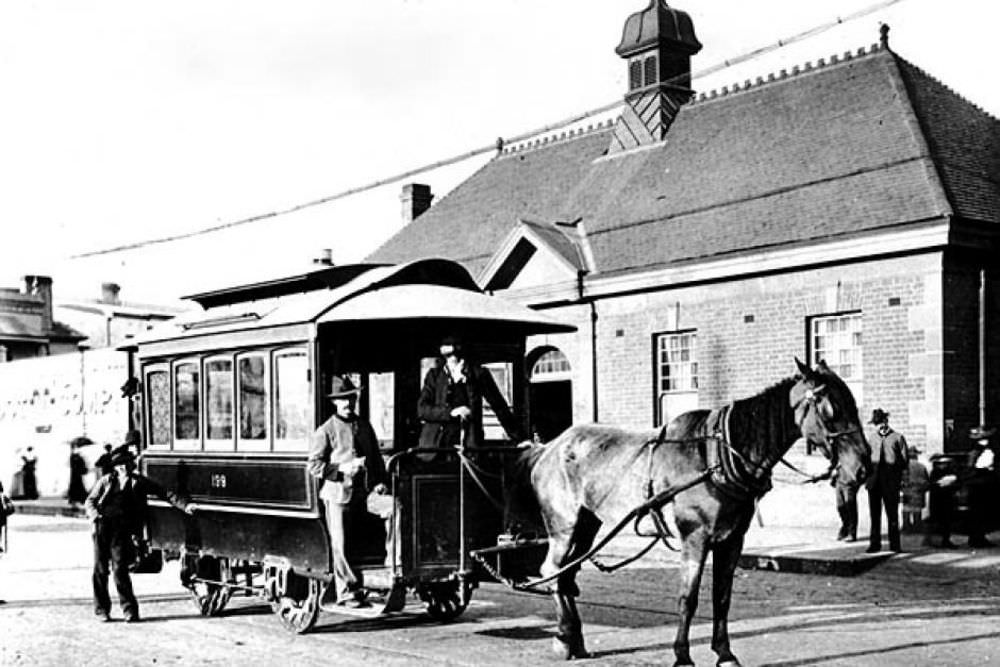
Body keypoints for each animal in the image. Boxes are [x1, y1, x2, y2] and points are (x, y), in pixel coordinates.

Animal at [516, 358, 868, 664]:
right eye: (831, 409)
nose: (862, 467)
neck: (717, 456)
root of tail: (548, 447)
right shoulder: (695, 536)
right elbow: (689, 597)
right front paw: (682, 655)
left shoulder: (732, 540)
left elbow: (722, 598)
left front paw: (724, 653)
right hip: (563, 524)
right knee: (553, 570)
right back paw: (564, 636)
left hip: (588, 524)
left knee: (567, 574)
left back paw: (574, 638)